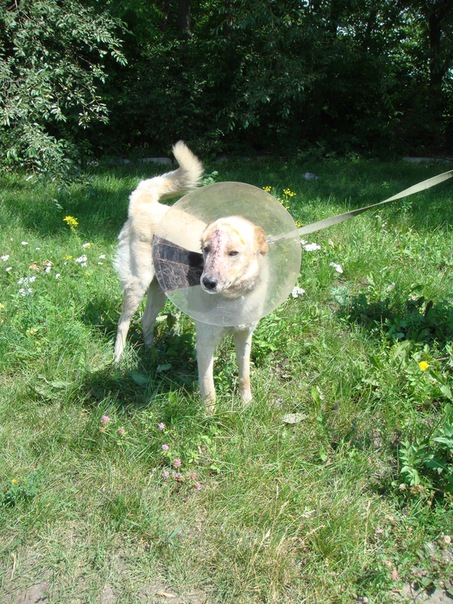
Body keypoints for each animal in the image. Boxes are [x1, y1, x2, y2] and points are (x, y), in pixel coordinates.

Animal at [114, 141, 268, 411]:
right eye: (205, 250)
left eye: (233, 253)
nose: (207, 283)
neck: (233, 298)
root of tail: (143, 204)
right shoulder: (205, 340)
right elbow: (208, 387)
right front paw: (210, 415)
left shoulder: (244, 335)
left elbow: (244, 373)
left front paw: (246, 404)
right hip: (137, 284)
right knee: (123, 323)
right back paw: (117, 360)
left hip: (160, 292)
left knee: (146, 320)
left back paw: (152, 354)